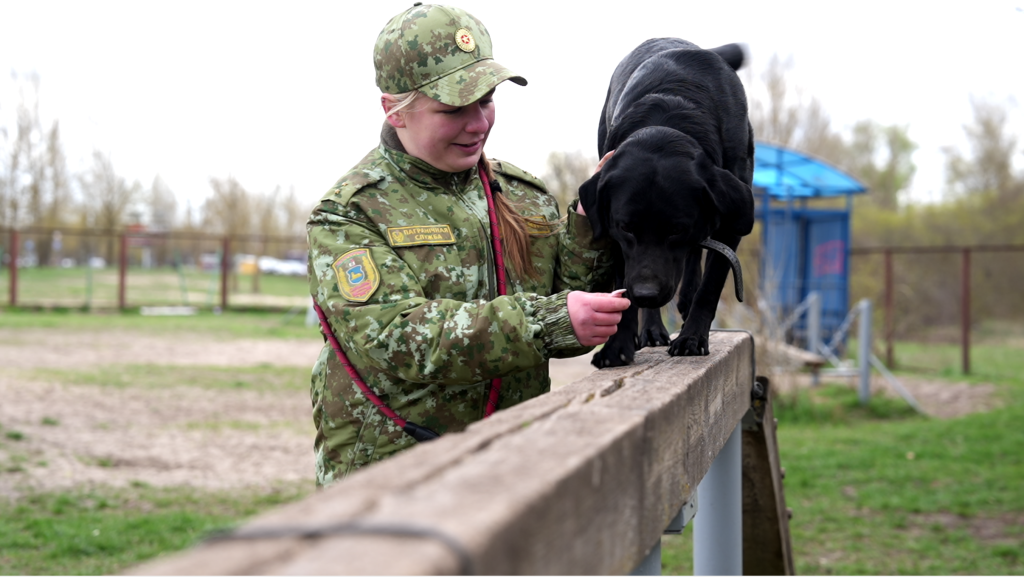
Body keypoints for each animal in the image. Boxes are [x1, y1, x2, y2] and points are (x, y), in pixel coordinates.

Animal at [579, 38, 755, 367]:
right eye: (626, 228)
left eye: (676, 230)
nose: (646, 294)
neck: (668, 120)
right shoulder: (614, 234)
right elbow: (622, 287)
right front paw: (617, 347)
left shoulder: (733, 218)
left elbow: (710, 285)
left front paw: (692, 338)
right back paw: (651, 330)